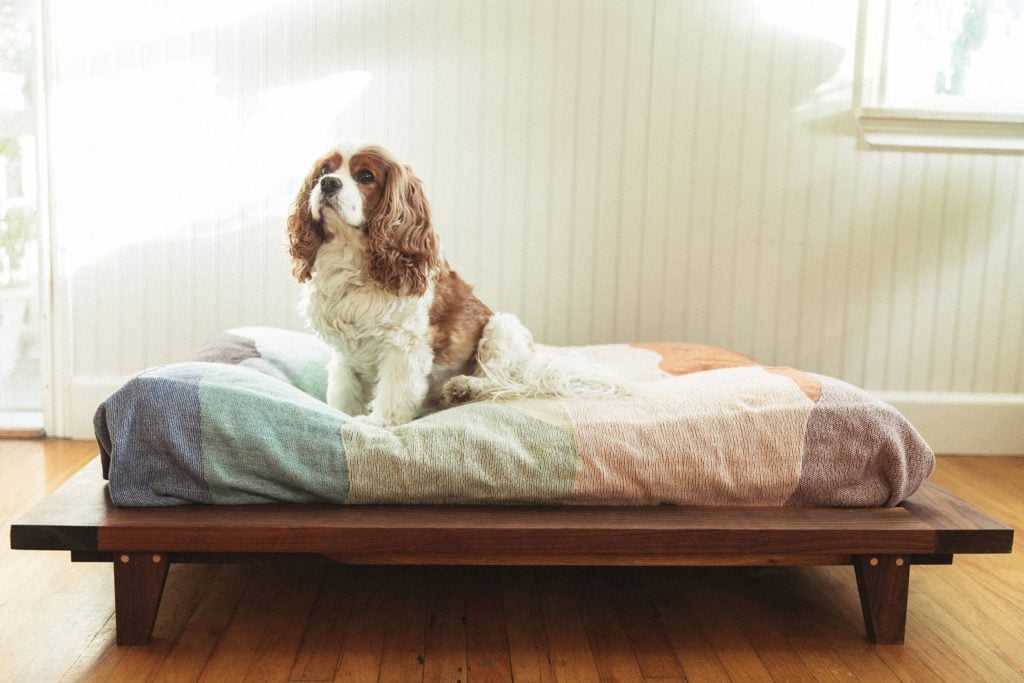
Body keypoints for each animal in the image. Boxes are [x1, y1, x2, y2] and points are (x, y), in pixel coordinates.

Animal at [288, 141, 622, 423]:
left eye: (365, 176)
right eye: (324, 171)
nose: (328, 183)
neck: (351, 257)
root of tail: (530, 364)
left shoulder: (404, 348)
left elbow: (395, 394)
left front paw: (378, 424)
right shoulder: (346, 356)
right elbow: (343, 394)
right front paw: (341, 416)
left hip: (501, 327)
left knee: (499, 382)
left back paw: (466, 388)